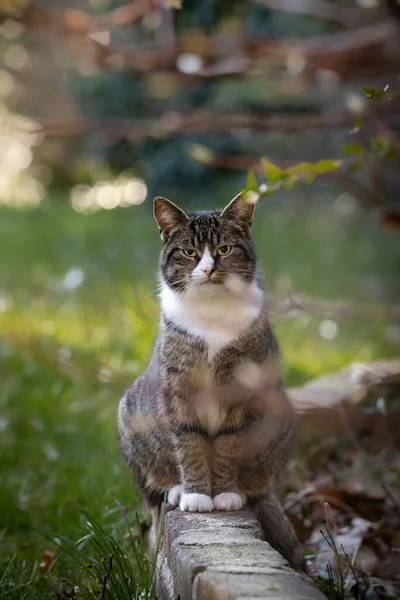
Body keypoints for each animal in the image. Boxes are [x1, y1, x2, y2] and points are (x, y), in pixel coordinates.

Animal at [119, 193, 304, 568]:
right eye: (190, 252)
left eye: (224, 249)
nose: (208, 269)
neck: (212, 311)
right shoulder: (177, 390)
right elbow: (189, 443)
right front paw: (196, 495)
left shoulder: (241, 390)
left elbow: (228, 444)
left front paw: (224, 493)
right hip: (131, 414)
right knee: (152, 493)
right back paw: (175, 489)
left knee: (260, 486)